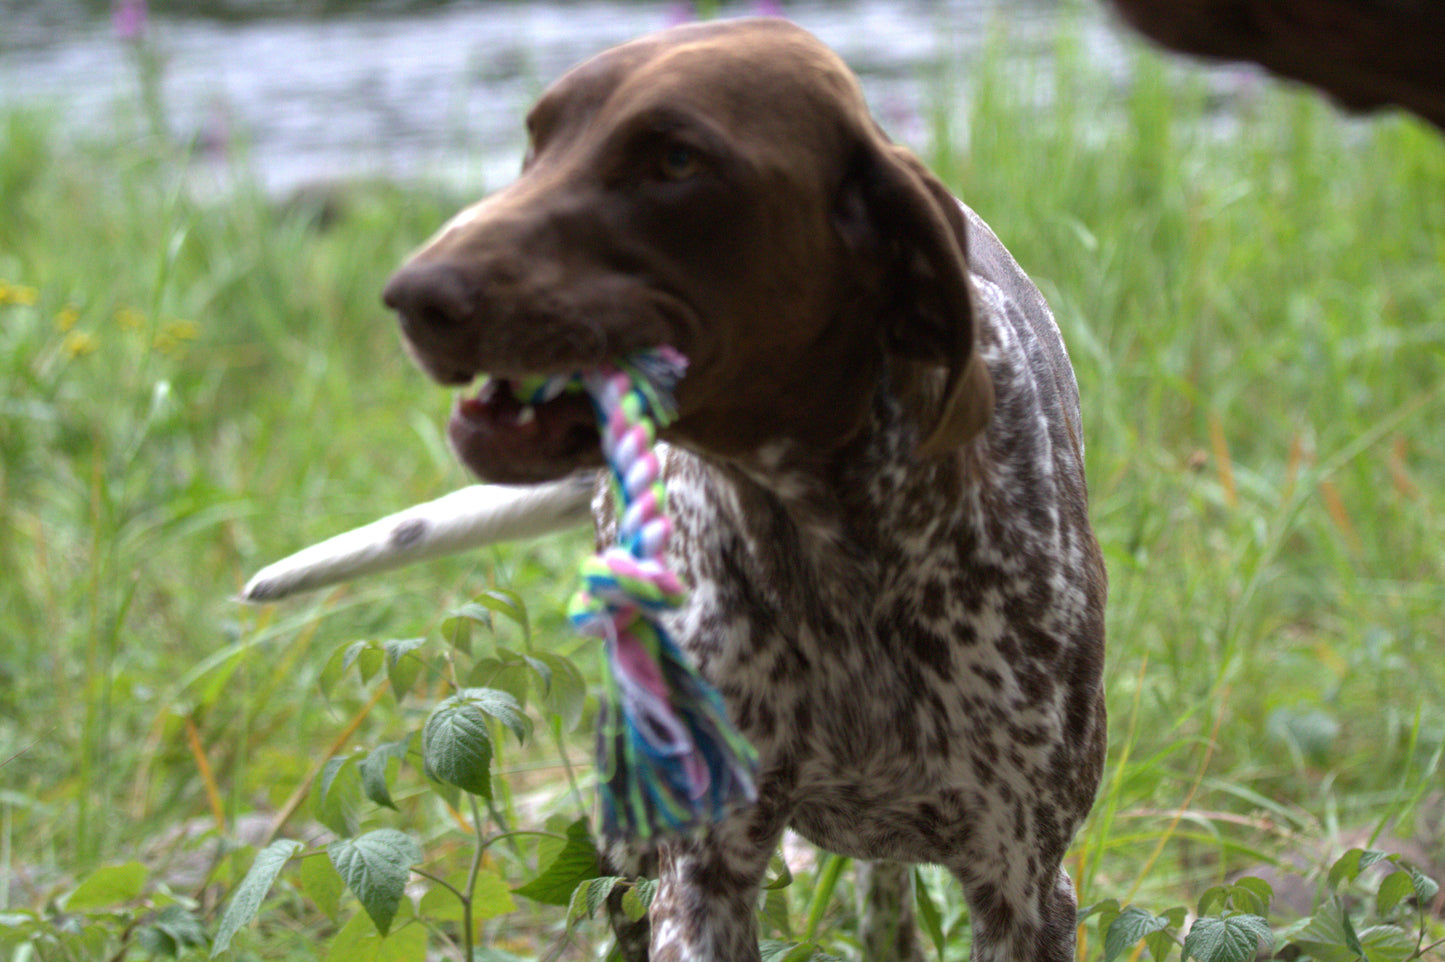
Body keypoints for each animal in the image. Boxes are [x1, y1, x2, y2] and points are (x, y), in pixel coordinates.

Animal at [251, 14, 1103, 959]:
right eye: (535, 144)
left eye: (677, 160)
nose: (411, 295)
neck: (828, 544)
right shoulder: (700, 882)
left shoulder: (1023, 887)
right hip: (630, 848)